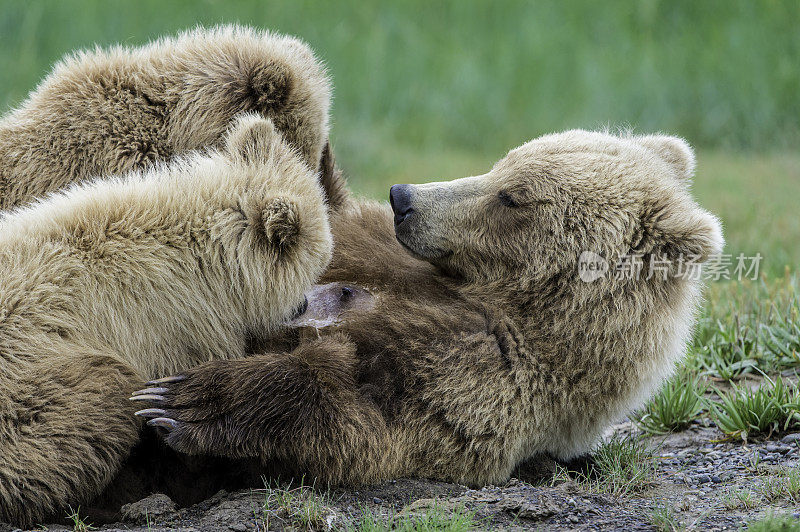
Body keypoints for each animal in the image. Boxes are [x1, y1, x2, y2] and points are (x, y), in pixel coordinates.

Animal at [133, 128, 724, 486]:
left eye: (511, 197)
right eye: (501, 164)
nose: (403, 197)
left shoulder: (478, 381)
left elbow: (356, 407)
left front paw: (184, 402)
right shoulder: (374, 249)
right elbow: (330, 216)